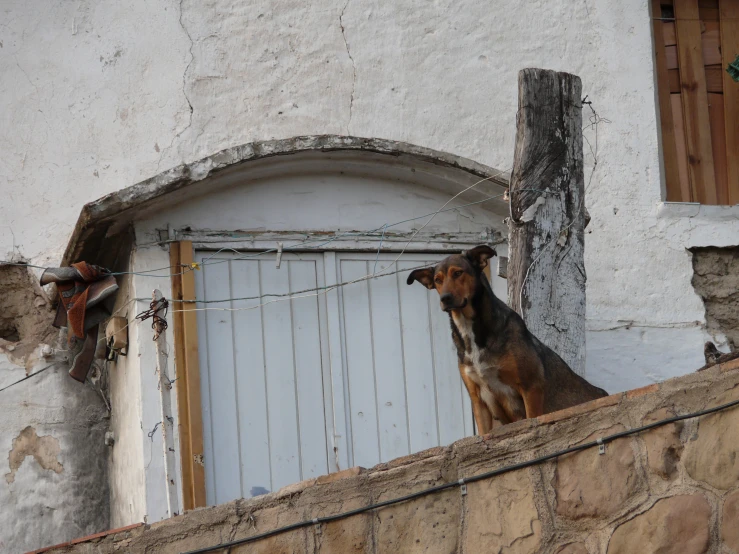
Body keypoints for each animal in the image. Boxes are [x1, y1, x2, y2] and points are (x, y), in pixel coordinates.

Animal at [408, 245, 608, 432]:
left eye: (458, 273)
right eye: (437, 280)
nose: (445, 299)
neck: (471, 329)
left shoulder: (531, 387)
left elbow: (532, 419)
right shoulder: (478, 399)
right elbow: (483, 434)